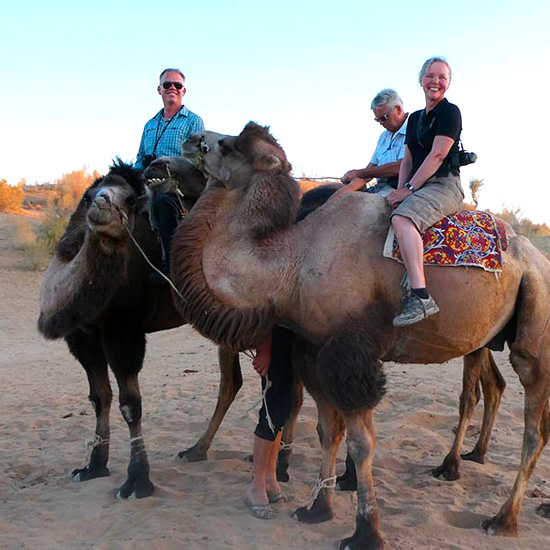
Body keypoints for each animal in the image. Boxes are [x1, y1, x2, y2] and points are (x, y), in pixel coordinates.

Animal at [172, 124, 550, 550]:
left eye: (231, 144)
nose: (192, 137)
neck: (291, 262)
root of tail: (539, 260)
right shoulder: (316, 351)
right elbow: (328, 432)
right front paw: (316, 509)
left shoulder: (351, 355)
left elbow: (361, 443)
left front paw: (366, 532)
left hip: (535, 325)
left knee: (533, 427)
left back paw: (502, 519)